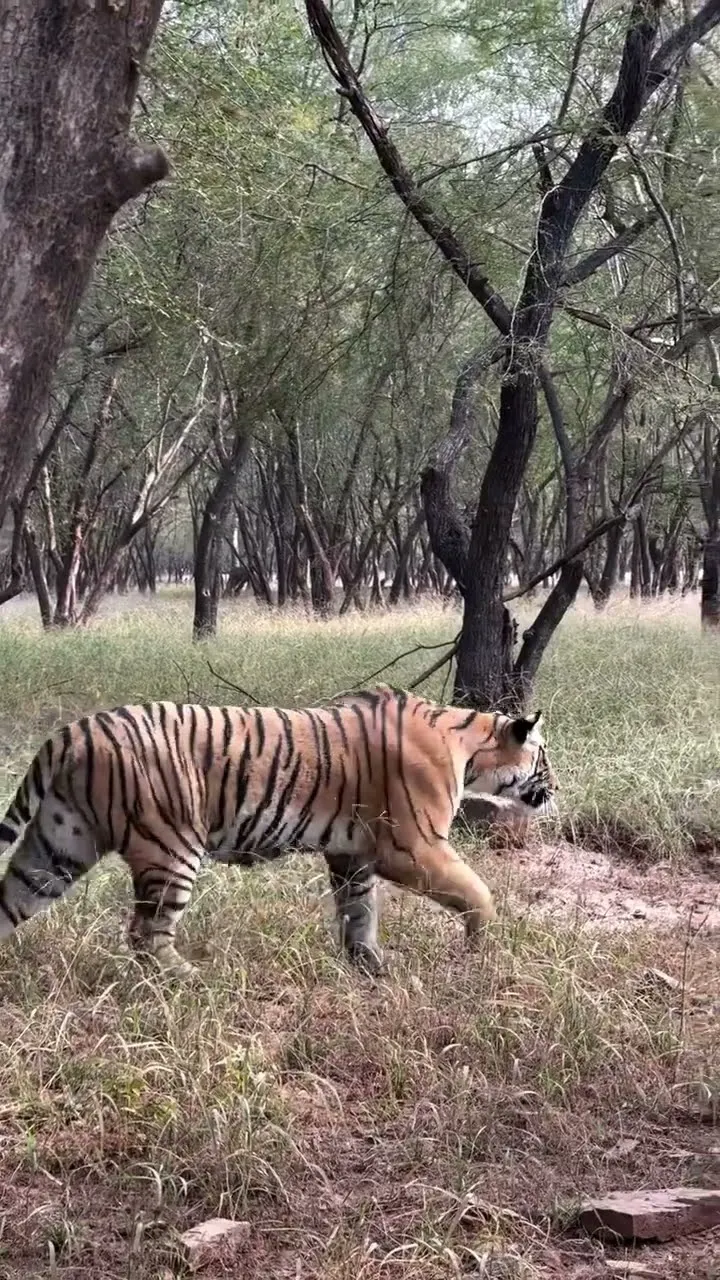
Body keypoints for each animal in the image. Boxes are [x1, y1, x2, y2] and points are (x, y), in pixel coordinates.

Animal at [0, 685, 557, 977]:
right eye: (544, 757)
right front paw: (480, 948)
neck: (468, 743)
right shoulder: (411, 847)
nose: (555, 788)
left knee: (11, 900)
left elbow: (360, 912)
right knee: (144, 933)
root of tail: (73, 732)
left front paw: (370, 965)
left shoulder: (352, 855)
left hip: (57, 848)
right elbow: (478, 892)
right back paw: (190, 978)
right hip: (171, 849)